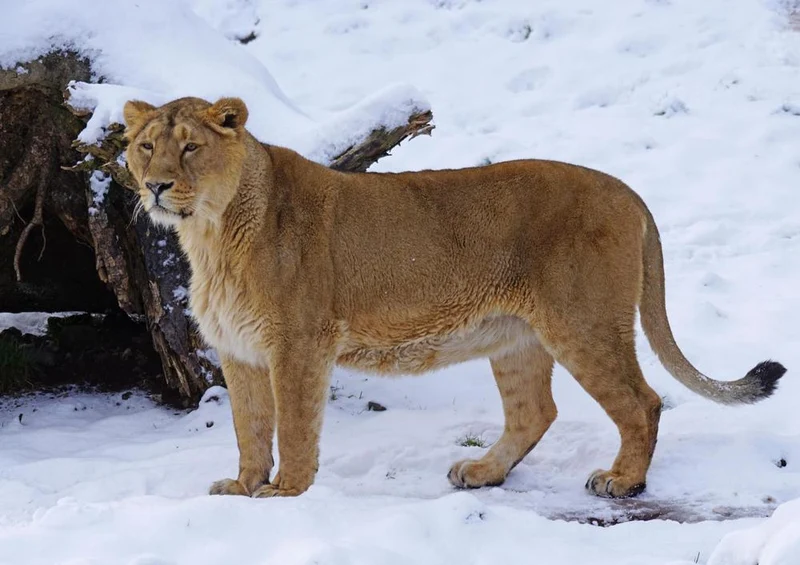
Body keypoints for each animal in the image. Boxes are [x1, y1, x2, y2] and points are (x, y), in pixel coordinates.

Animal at [123, 96, 785, 499]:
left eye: (190, 147)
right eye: (145, 147)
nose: (155, 186)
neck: (211, 235)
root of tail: (627, 189)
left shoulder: (300, 345)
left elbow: (295, 427)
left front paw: (287, 494)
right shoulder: (239, 352)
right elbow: (250, 428)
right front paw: (242, 489)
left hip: (583, 322)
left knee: (643, 402)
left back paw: (622, 481)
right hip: (518, 337)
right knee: (535, 411)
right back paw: (484, 471)